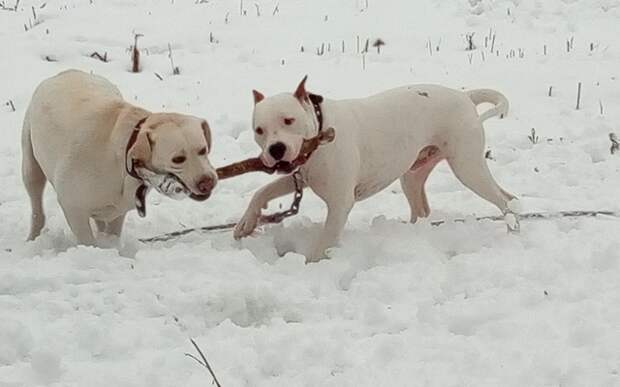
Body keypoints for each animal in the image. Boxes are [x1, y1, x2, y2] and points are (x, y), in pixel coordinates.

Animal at [22, 70, 218, 246]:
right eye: (178, 159)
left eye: (203, 150)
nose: (208, 181)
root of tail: (64, 73)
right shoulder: (73, 207)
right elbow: (87, 241)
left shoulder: (119, 211)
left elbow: (112, 235)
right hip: (30, 166)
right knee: (37, 207)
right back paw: (32, 237)